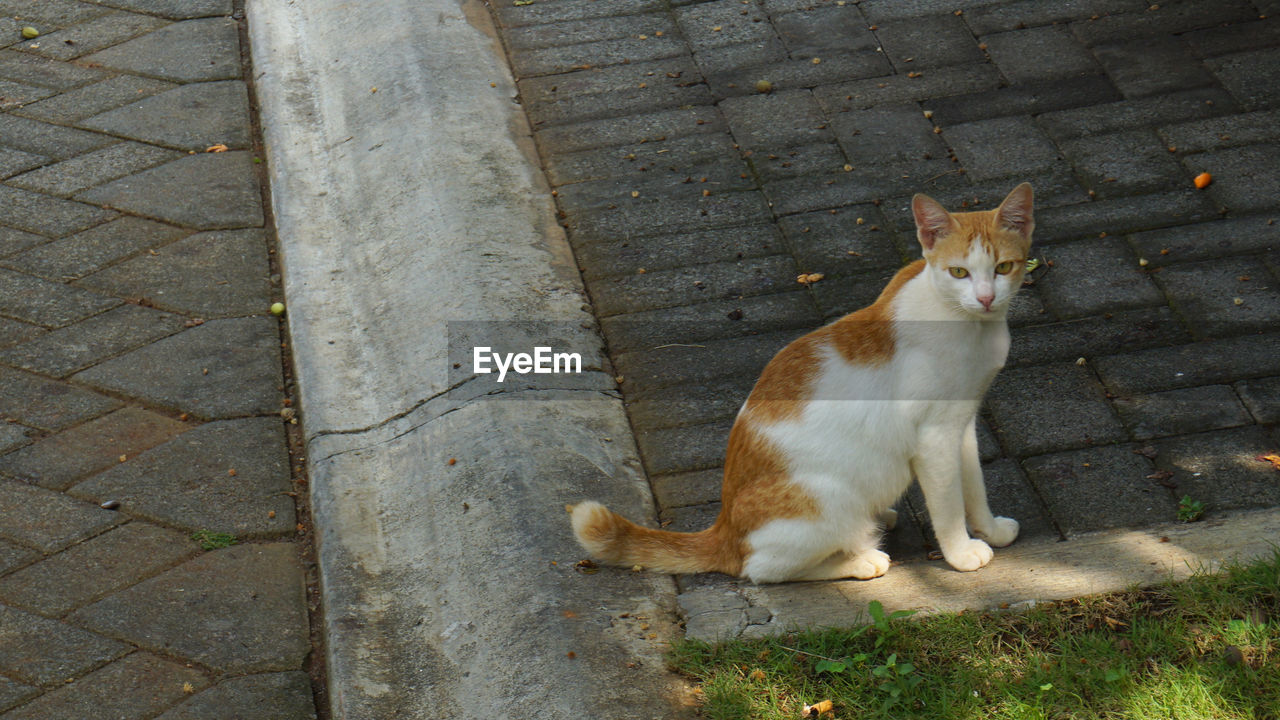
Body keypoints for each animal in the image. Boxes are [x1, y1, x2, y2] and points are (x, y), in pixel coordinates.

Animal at [576, 181, 1034, 579]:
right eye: (958, 272)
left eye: (1003, 267)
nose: (986, 298)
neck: (968, 324)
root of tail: (724, 528)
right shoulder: (934, 436)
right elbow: (948, 503)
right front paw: (960, 552)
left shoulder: (962, 423)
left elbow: (973, 486)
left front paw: (990, 529)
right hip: (828, 498)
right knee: (762, 571)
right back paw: (861, 559)